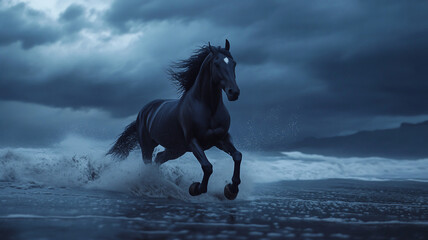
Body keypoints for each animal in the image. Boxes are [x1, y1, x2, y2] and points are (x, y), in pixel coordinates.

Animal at [105, 39, 242, 200]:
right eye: (217, 64)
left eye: (234, 63)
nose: (234, 92)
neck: (208, 107)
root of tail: (144, 111)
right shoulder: (193, 141)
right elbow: (207, 167)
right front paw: (196, 188)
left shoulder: (221, 139)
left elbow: (237, 156)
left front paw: (231, 189)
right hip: (148, 146)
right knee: (149, 163)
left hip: (176, 149)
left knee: (159, 158)